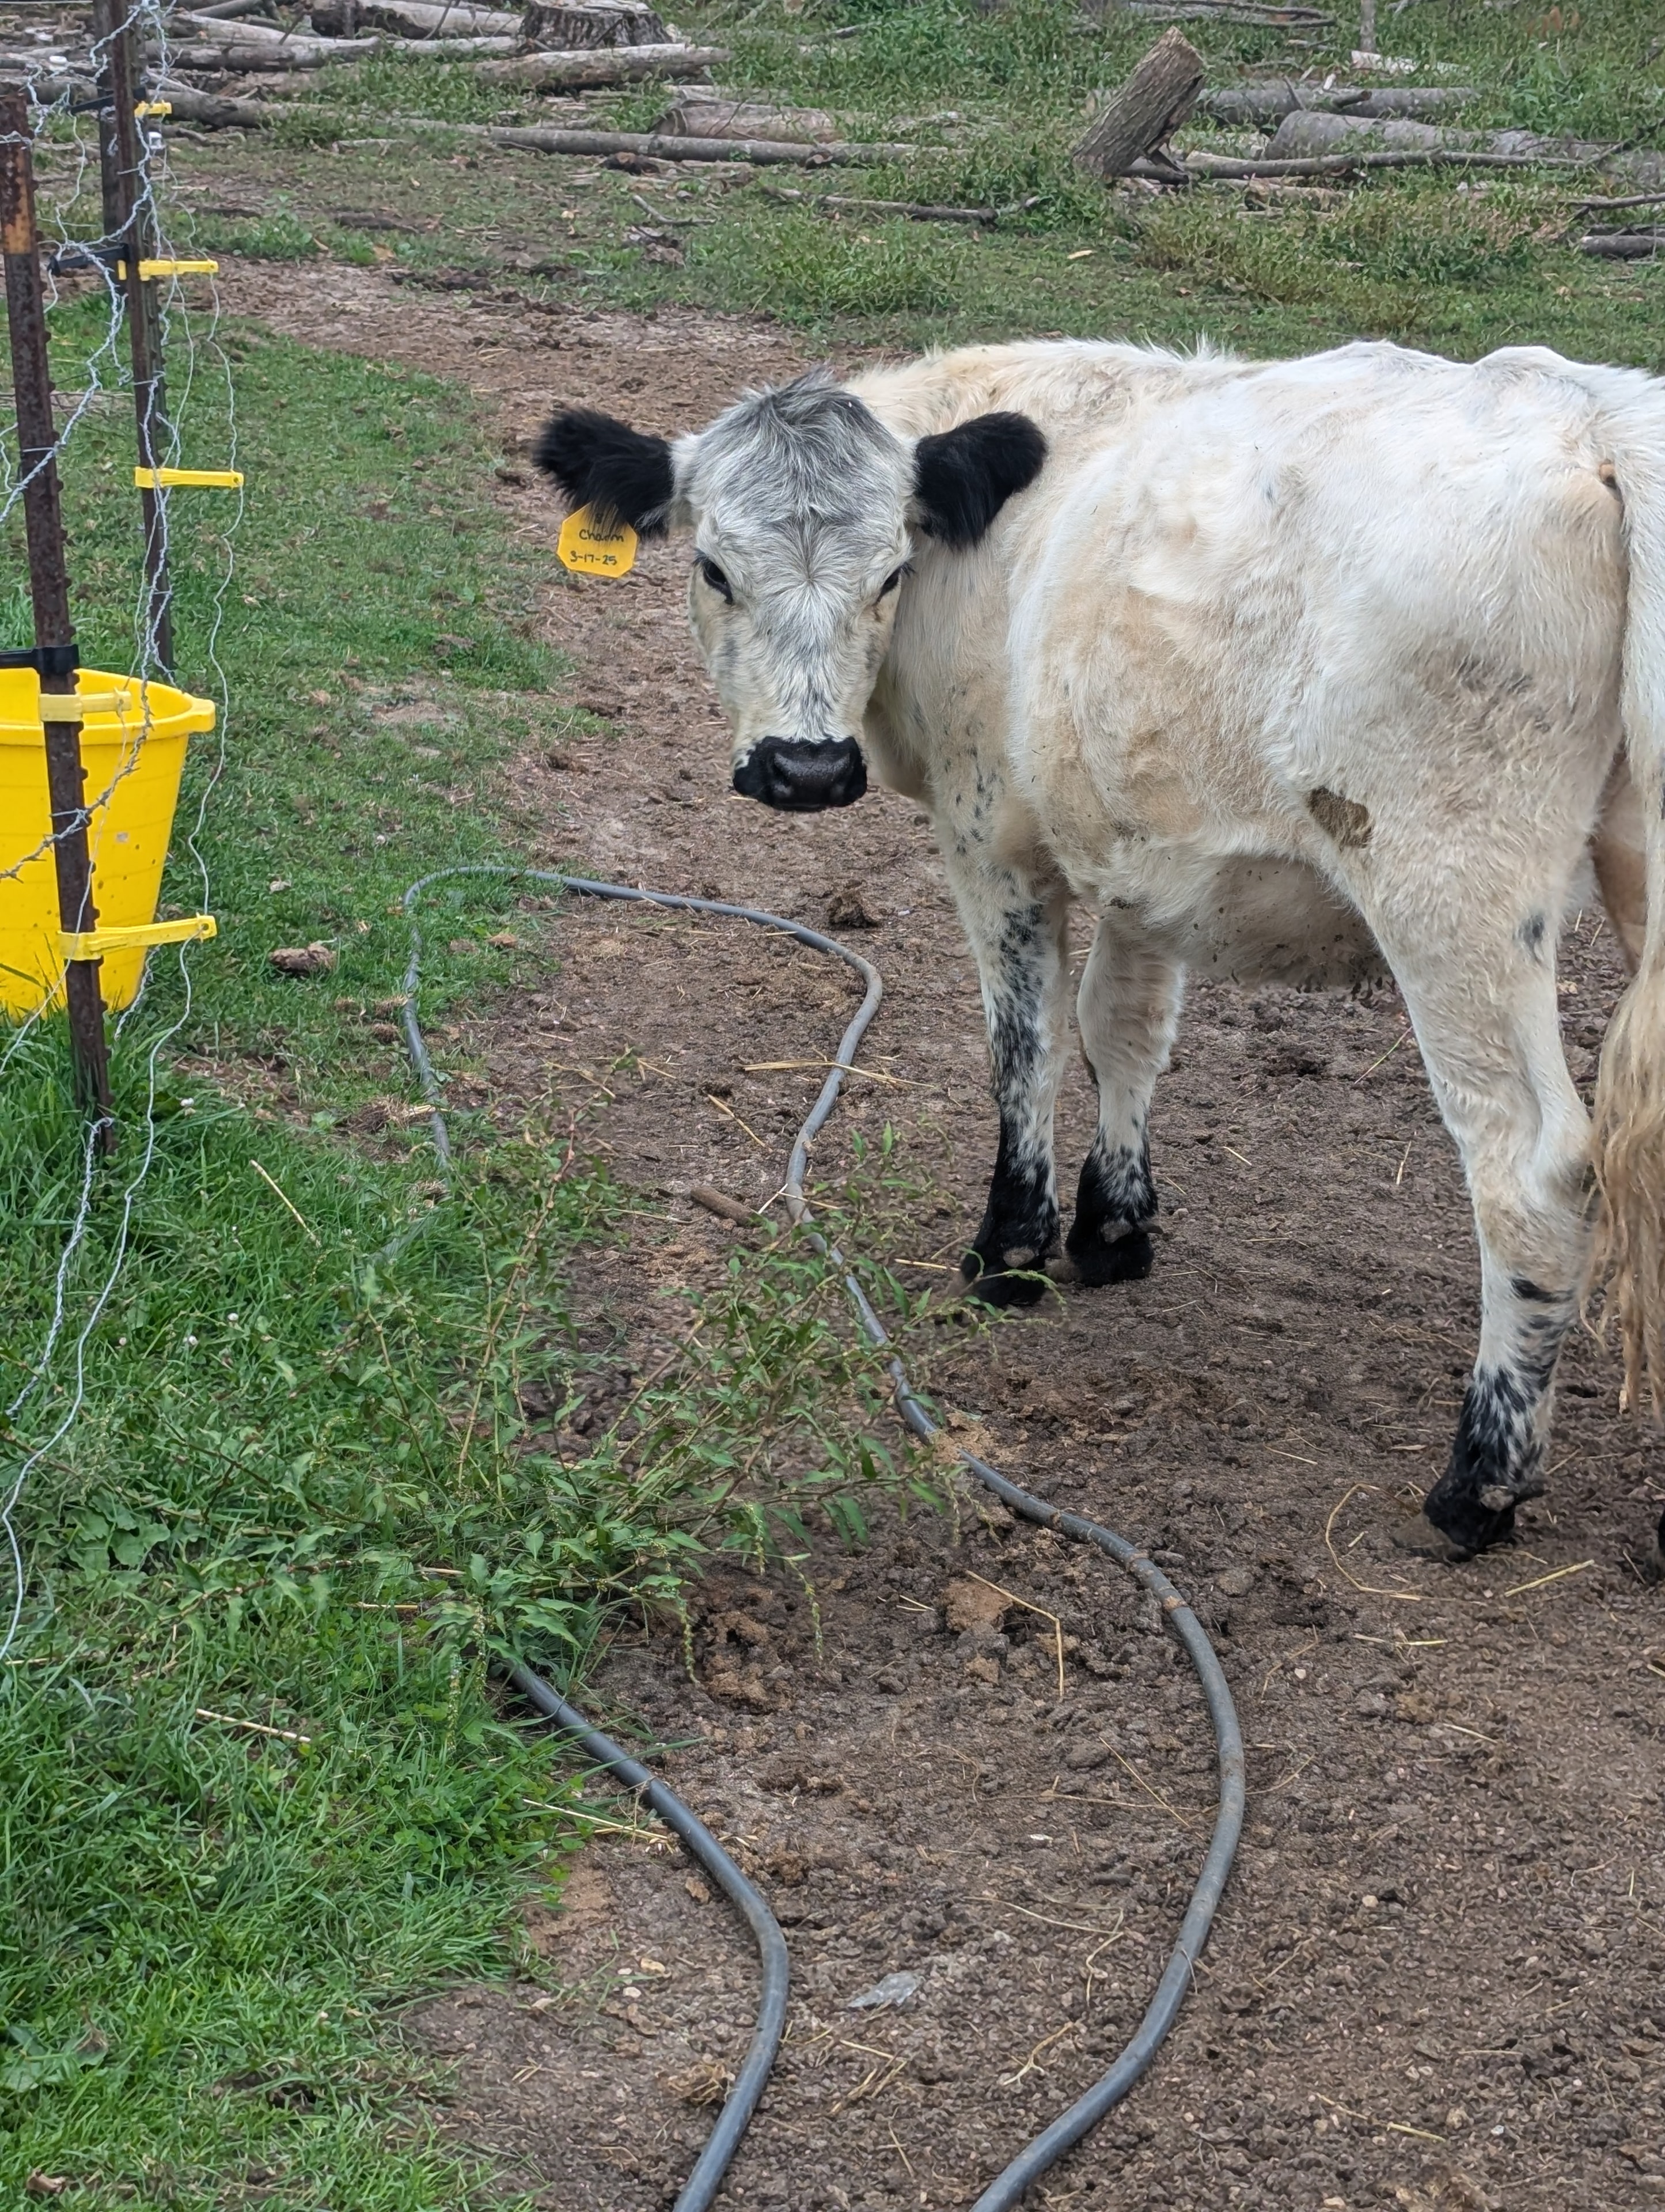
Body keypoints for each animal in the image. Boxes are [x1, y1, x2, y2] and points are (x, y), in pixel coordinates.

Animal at [535, 337, 1665, 1561]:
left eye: (890, 573)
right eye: (713, 569)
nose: (805, 768)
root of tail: (1585, 416)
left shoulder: (990, 836)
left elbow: (1022, 1043)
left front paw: (1012, 1247)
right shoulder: (1146, 849)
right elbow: (1121, 1029)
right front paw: (1115, 1225)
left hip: (1451, 890)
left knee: (1530, 1172)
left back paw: (1480, 1481)